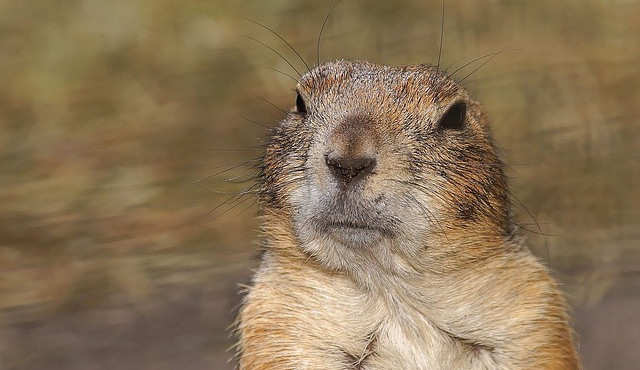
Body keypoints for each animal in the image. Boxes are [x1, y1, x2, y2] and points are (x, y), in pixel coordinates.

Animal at [234, 59, 580, 368]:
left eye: (455, 115)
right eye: (300, 103)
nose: (348, 162)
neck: (393, 296)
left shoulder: (532, 316)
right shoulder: (278, 324)